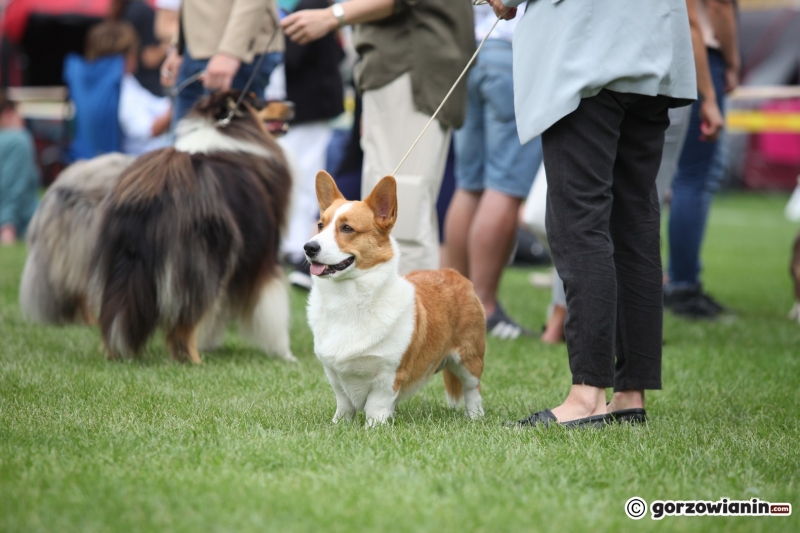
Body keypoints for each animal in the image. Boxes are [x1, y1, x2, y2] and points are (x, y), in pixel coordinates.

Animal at [304, 172, 482, 426]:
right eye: (321, 225)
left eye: (347, 228)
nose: (308, 247)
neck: (349, 296)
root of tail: (453, 272)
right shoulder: (335, 374)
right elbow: (344, 404)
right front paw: (338, 425)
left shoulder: (387, 375)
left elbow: (376, 406)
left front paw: (373, 428)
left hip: (469, 358)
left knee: (472, 389)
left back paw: (475, 417)